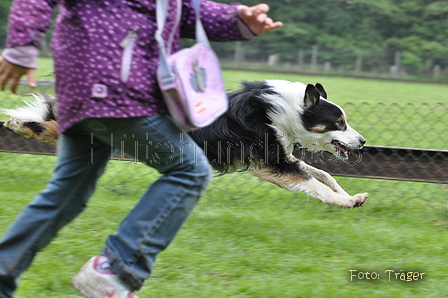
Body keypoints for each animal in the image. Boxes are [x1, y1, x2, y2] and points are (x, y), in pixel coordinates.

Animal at [2, 80, 368, 208]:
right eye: (339, 122)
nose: (363, 142)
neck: (287, 110)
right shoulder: (273, 163)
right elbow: (315, 184)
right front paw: (349, 202)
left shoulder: (272, 161)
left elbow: (323, 175)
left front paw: (350, 194)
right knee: (48, 122)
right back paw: (18, 123)